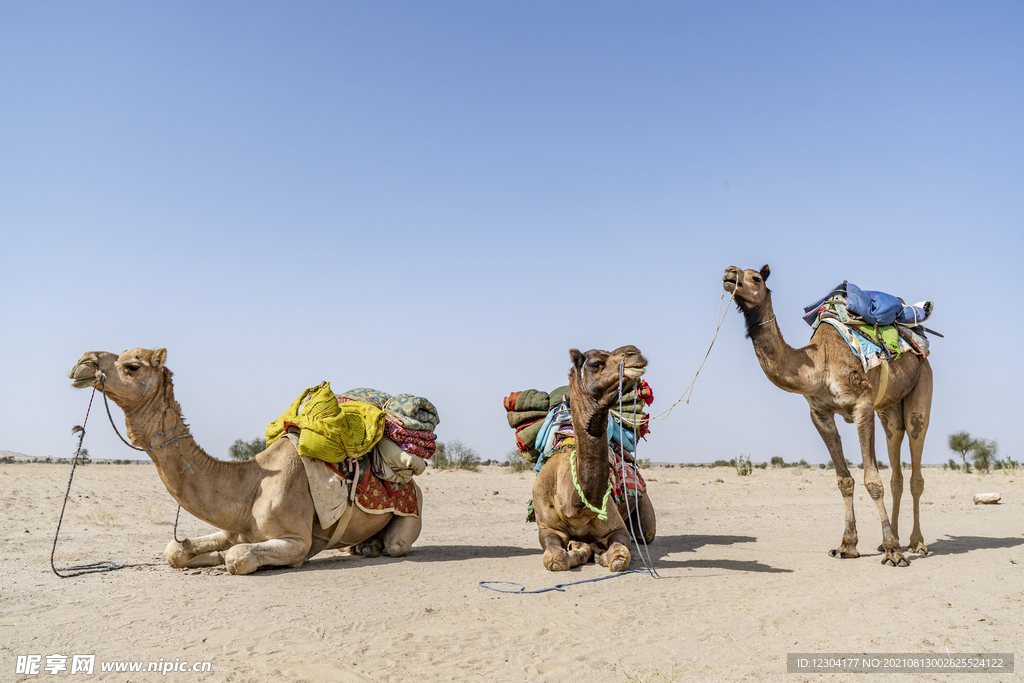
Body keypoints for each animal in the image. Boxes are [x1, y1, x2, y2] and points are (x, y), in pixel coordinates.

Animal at [68, 350, 421, 573]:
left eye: (133, 366)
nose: (82, 362)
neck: (250, 482)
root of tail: (414, 485)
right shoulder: (235, 526)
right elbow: (176, 550)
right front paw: (206, 555)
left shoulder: (296, 539)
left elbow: (237, 558)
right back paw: (361, 547)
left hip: (411, 516)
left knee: (397, 544)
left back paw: (372, 548)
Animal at [528, 344, 655, 573]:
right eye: (596, 364)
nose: (634, 352)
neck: (574, 508)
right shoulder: (547, 528)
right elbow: (555, 559)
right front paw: (581, 549)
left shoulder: (617, 528)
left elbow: (619, 557)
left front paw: (595, 551)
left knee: (645, 534)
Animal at [724, 266, 933, 565]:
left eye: (756, 278)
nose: (730, 274)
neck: (818, 364)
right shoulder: (820, 414)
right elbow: (845, 480)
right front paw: (848, 546)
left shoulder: (862, 406)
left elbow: (873, 481)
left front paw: (893, 551)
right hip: (889, 409)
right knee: (896, 464)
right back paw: (892, 540)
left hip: (921, 385)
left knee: (916, 452)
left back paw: (916, 544)